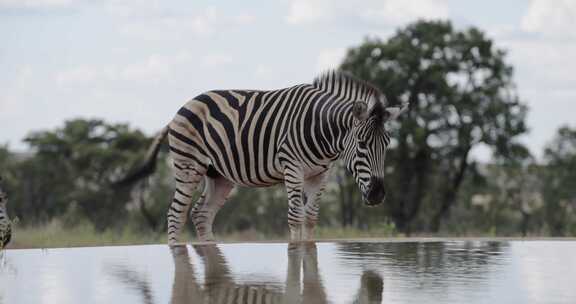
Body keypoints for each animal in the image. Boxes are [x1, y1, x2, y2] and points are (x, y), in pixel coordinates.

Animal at [119, 70, 410, 243]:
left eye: (387, 145)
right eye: (361, 144)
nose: (377, 195)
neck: (322, 130)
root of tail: (180, 109)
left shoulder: (320, 174)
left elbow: (311, 217)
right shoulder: (292, 168)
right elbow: (295, 216)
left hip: (219, 174)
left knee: (201, 214)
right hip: (188, 166)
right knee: (175, 214)